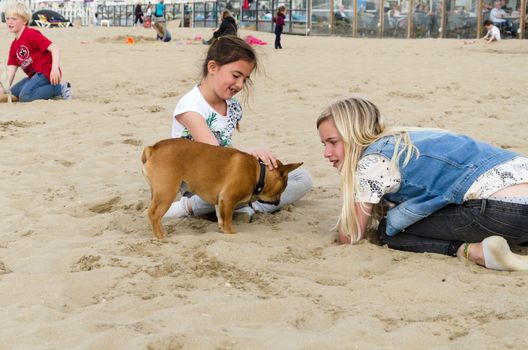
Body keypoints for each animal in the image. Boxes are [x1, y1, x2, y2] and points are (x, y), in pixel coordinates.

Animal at [141, 138, 302, 239]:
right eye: (282, 189)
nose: (278, 202)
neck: (258, 172)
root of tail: (153, 148)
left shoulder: (220, 201)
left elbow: (220, 217)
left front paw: (222, 229)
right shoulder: (229, 199)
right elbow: (228, 220)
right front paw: (231, 233)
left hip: (157, 192)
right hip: (166, 193)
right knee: (154, 214)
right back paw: (160, 236)